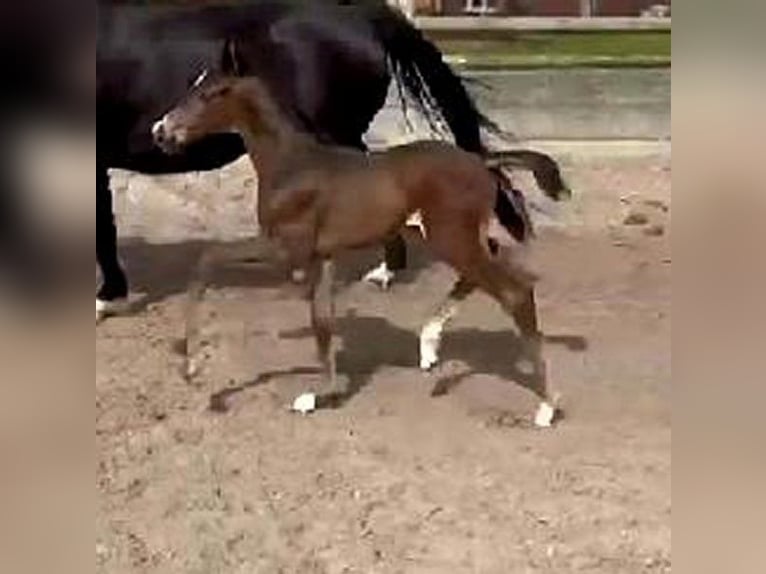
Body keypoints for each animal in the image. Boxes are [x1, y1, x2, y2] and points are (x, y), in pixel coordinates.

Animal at [153, 73, 568, 428]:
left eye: (208, 94)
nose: (161, 131)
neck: (291, 164)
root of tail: (480, 161)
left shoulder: (286, 250)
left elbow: (207, 259)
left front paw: (192, 367)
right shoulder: (323, 257)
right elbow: (322, 323)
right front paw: (318, 397)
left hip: (450, 237)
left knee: (514, 291)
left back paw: (545, 407)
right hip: (445, 236)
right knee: (484, 274)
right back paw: (429, 346)